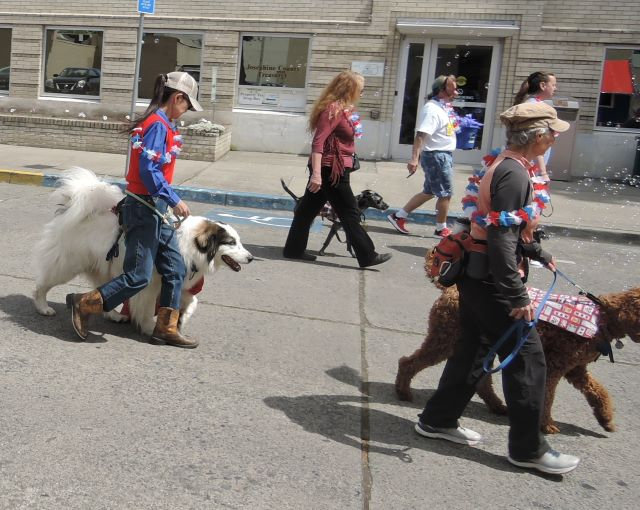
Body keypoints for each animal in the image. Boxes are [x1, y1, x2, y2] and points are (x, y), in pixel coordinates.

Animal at [33, 166, 252, 334]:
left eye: (239, 242)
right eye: (231, 242)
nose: (251, 258)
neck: (190, 245)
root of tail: (72, 208)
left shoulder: (176, 282)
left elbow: (192, 301)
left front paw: (181, 321)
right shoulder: (151, 285)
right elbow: (146, 308)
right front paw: (149, 328)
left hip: (103, 267)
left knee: (104, 291)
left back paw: (113, 315)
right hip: (67, 265)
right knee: (43, 285)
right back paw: (43, 307)